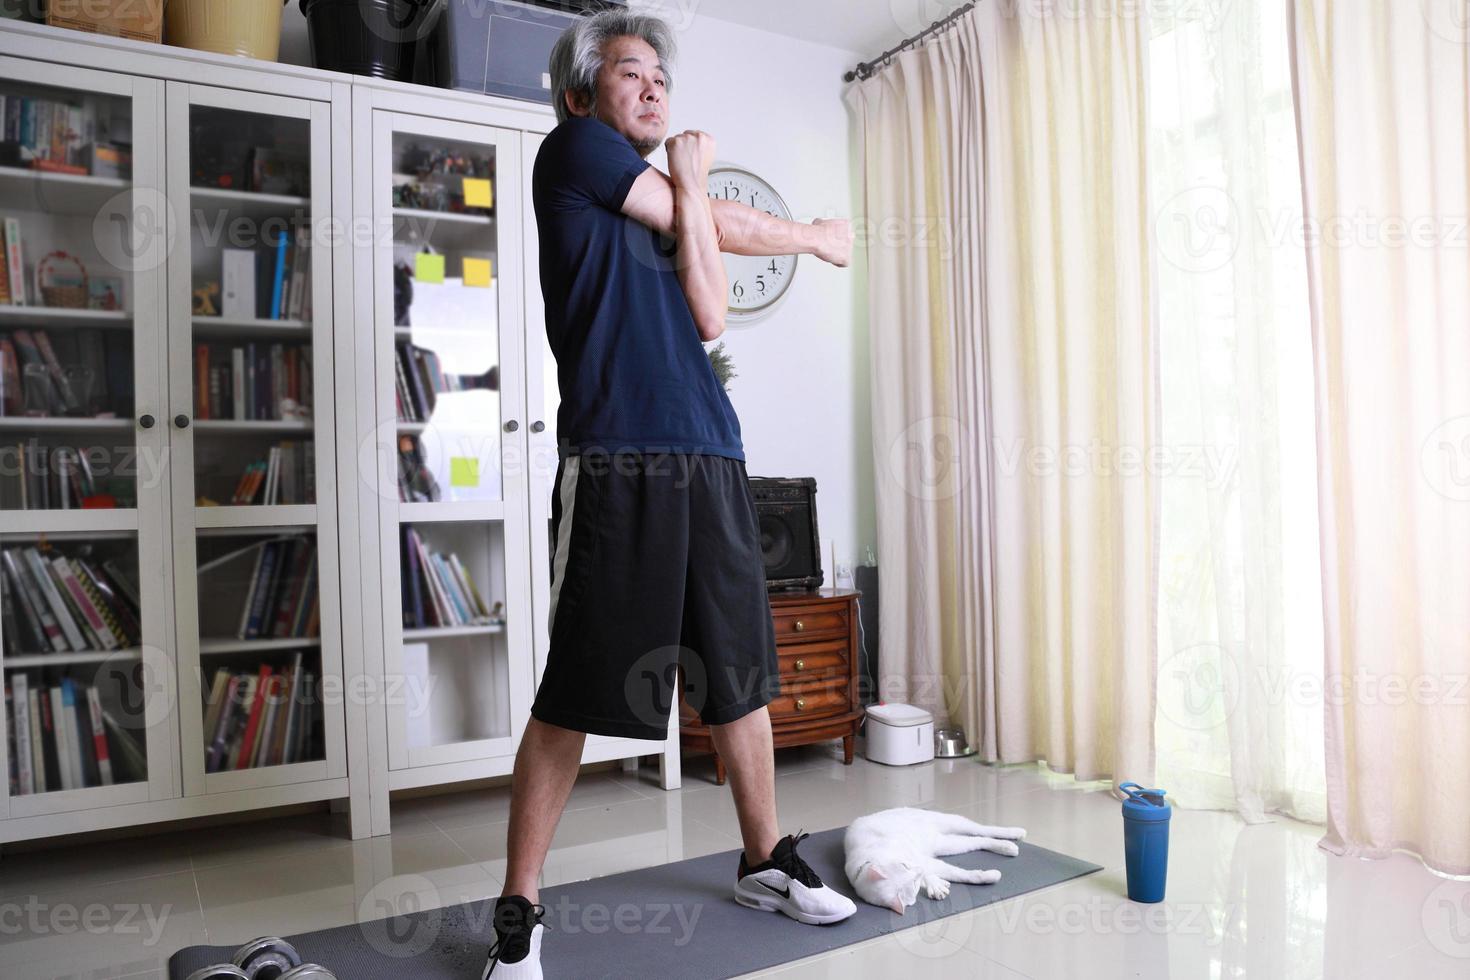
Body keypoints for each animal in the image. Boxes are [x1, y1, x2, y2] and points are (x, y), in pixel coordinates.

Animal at [846, 811, 1029, 916]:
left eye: (904, 865)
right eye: (914, 885)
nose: (917, 870)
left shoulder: (918, 859)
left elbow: (950, 872)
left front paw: (935, 884)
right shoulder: (924, 862)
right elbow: (956, 874)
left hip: (953, 823)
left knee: (982, 830)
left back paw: (1015, 834)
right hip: (946, 844)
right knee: (977, 840)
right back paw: (1007, 847)